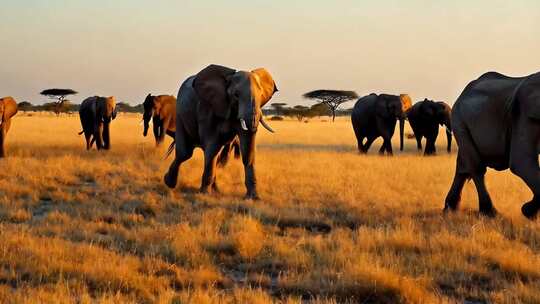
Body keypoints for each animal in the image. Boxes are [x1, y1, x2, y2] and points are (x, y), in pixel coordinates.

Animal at [162, 63, 276, 200]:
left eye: (261, 94)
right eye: (236, 95)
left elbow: (248, 151)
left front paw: (253, 198)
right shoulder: (207, 108)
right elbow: (212, 146)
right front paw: (204, 194)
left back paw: (216, 191)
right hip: (180, 114)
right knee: (185, 153)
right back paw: (169, 182)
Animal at [442, 71, 540, 218]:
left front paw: (528, 212)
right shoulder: (523, 115)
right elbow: (521, 162)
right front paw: (527, 212)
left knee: (463, 165)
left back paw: (450, 209)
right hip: (459, 121)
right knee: (476, 166)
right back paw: (490, 213)